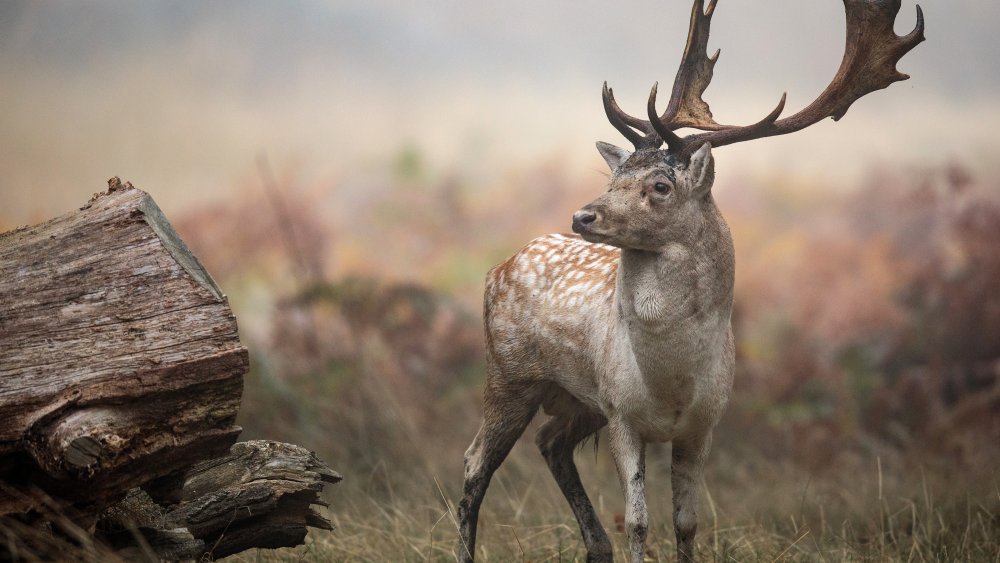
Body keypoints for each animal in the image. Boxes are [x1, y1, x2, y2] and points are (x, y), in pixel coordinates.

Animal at [458, 2, 924, 560]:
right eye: (614, 178)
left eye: (660, 185)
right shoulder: (622, 413)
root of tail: (497, 267)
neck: (672, 382)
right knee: (473, 466)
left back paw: (596, 546)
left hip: (575, 400)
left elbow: (686, 522)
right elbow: (639, 520)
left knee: (549, 443)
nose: (582, 215)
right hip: (509, 376)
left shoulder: (703, 425)